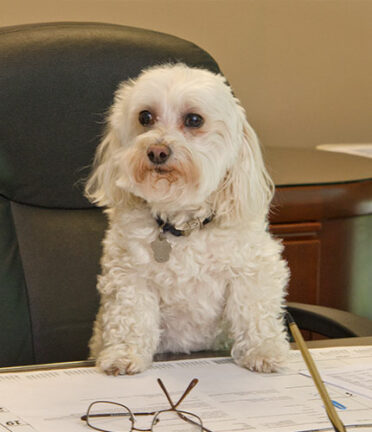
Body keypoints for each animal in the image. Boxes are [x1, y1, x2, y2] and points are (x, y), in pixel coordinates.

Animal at [85, 61, 290, 374]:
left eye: (194, 120)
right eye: (145, 117)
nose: (157, 151)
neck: (183, 224)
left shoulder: (253, 269)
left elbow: (254, 311)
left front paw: (264, 351)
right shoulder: (130, 277)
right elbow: (131, 318)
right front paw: (124, 354)